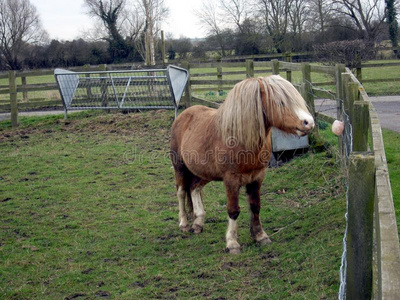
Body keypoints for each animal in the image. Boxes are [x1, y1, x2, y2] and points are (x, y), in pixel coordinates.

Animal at [169, 75, 312, 253]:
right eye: (280, 102)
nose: (309, 123)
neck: (240, 138)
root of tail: (183, 116)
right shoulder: (231, 180)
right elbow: (233, 211)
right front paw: (232, 243)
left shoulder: (257, 177)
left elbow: (255, 206)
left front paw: (260, 236)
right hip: (180, 167)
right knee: (181, 192)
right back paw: (183, 224)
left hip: (204, 172)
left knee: (194, 188)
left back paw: (198, 223)